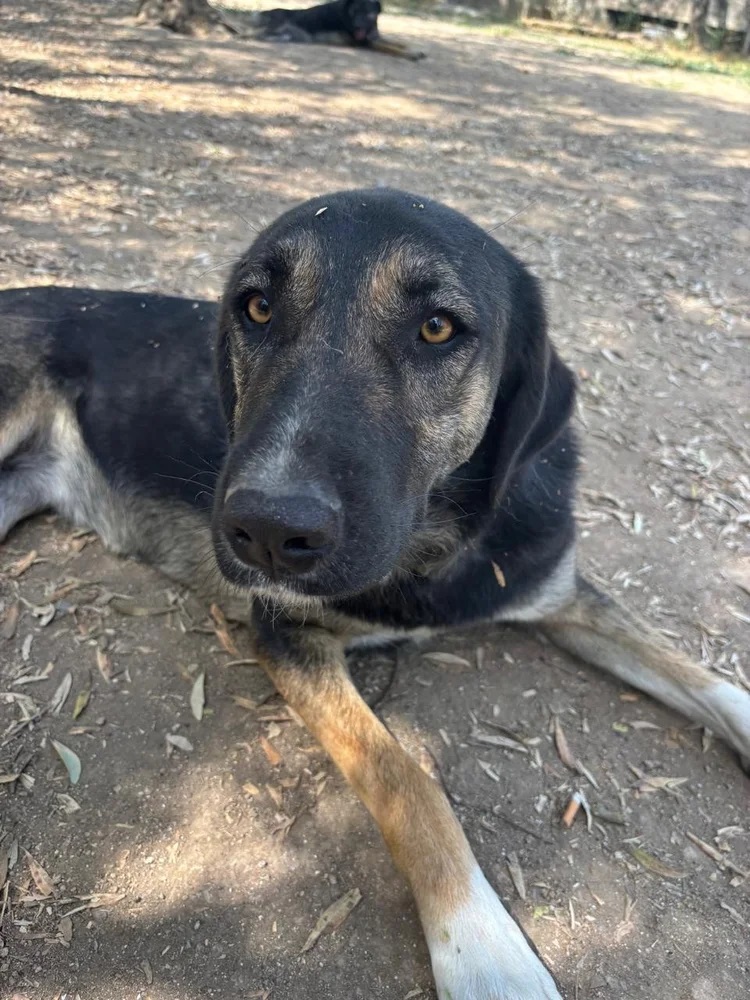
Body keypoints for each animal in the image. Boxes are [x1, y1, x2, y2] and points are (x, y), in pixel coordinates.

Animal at [1, 188, 748, 999]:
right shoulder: (286, 635)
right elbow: (408, 781)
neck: (433, 552)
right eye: (257, 308)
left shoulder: (560, 592)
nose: (266, 530)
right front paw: (482, 946)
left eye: (437, 327)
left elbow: (701, 677)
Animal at [250, 0, 425, 60]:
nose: (357, 26)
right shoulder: (368, 43)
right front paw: (411, 55)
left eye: (367, 13)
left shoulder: (374, 37)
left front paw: (412, 49)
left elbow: (397, 42)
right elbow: (392, 48)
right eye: (355, 12)